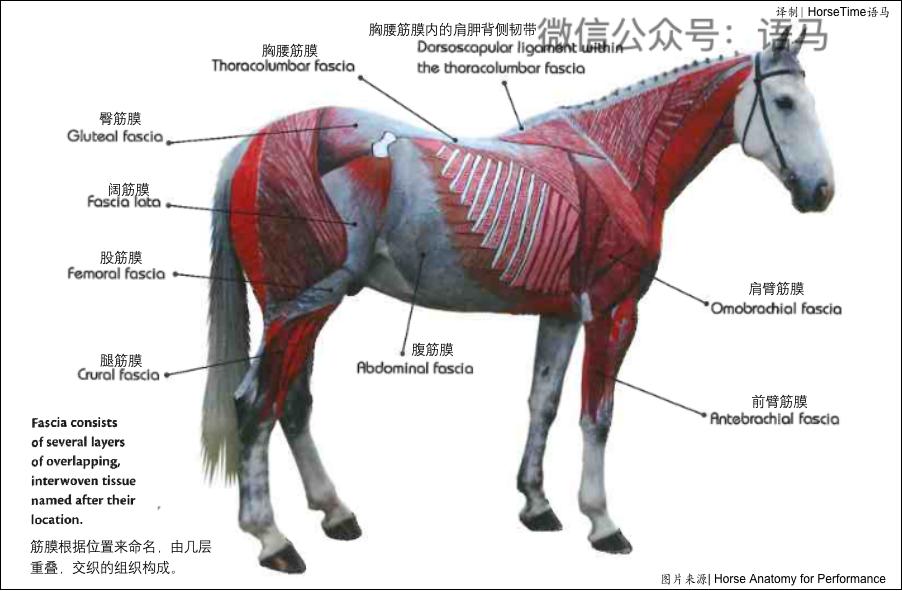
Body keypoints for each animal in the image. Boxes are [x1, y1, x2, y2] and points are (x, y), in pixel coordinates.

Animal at [200, 27, 834, 573]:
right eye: (783, 102)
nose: (821, 192)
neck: (619, 160)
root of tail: (251, 148)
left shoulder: (561, 315)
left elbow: (543, 403)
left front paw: (537, 504)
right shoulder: (613, 313)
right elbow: (597, 415)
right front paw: (602, 522)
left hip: (303, 308)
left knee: (292, 404)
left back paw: (335, 513)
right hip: (302, 306)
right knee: (257, 406)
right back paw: (273, 539)